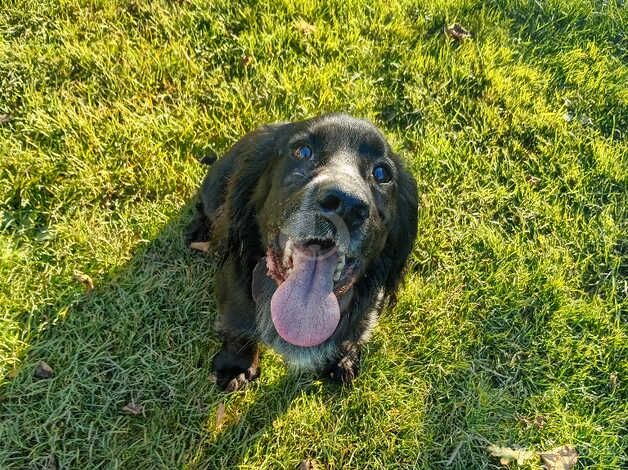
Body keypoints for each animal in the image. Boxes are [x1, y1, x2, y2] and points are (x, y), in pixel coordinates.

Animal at [186, 112, 418, 392]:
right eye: (302, 151)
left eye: (382, 173)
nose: (346, 204)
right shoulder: (234, 289)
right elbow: (238, 329)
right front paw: (236, 366)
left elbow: (353, 333)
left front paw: (343, 360)